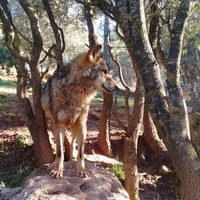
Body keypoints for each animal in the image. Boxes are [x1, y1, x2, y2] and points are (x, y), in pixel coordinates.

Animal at [41, 45, 119, 178]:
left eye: (108, 72)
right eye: (104, 71)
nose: (117, 87)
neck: (77, 92)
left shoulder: (82, 125)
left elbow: (81, 153)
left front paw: (81, 171)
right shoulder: (59, 125)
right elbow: (60, 152)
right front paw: (58, 170)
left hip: (75, 127)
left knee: (73, 144)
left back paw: (72, 160)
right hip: (56, 127)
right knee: (59, 146)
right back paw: (54, 164)